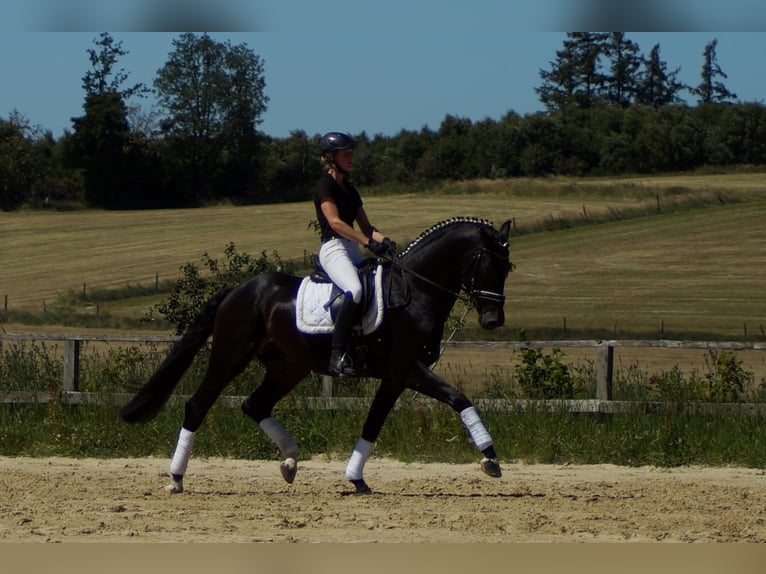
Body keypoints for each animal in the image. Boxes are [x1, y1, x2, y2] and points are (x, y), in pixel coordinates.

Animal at [121, 218, 516, 498]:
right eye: (489, 263)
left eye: (507, 267)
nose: (493, 321)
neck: (415, 292)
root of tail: (238, 290)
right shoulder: (407, 369)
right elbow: (459, 398)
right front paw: (490, 459)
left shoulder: (395, 378)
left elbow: (372, 424)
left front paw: (356, 479)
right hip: (230, 356)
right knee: (197, 405)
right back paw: (176, 478)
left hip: (288, 367)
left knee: (254, 404)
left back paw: (290, 461)